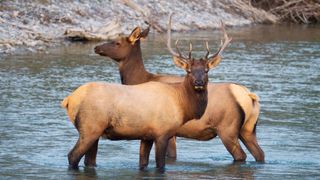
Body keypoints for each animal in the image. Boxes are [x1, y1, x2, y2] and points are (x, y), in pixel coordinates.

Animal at [61, 34, 221, 170]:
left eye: (206, 70)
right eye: (188, 71)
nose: (199, 82)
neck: (182, 104)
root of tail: (69, 99)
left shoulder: (147, 136)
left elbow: (143, 163)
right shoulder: (162, 133)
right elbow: (160, 166)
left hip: (95, 132)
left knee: (89, 161)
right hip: (90, 128)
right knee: (72, 156)